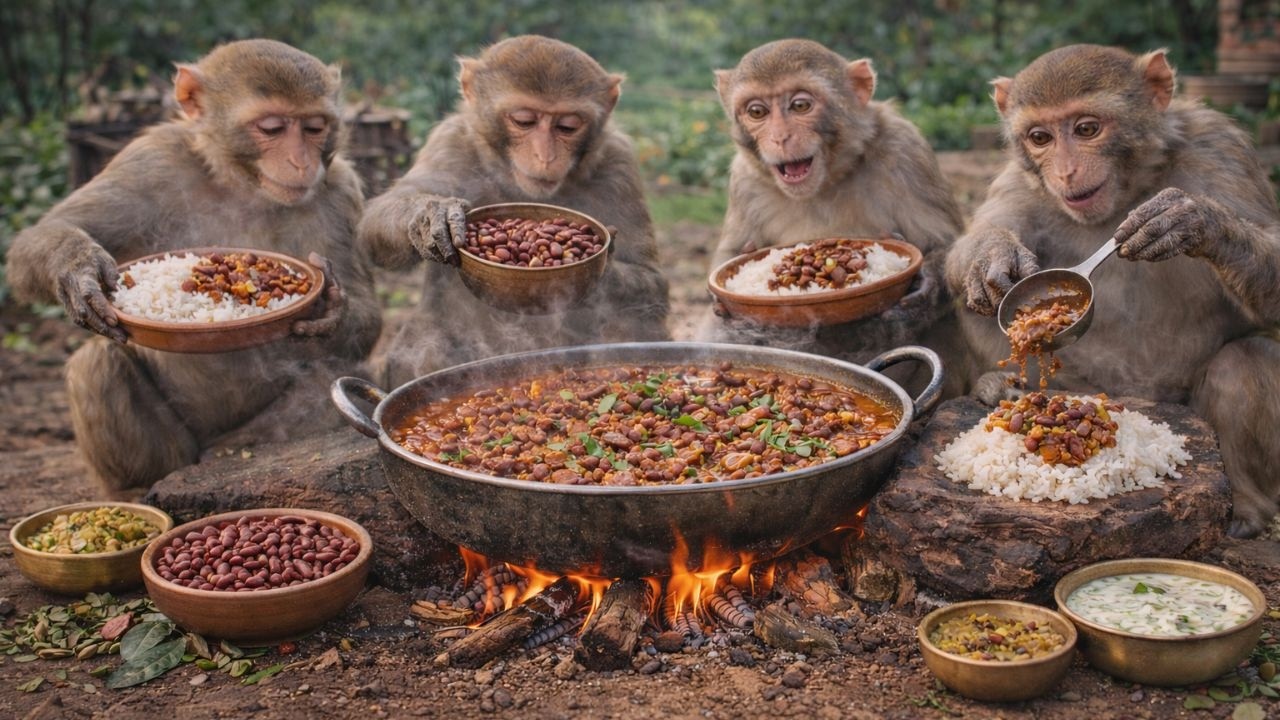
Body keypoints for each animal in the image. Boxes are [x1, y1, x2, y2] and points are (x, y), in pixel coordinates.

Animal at [5, 39, 382, 493]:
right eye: (272, 128)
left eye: (313, 128)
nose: (300, 163)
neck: (241, 185)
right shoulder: (151, 160)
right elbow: (39, 238)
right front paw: (80, 270)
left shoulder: (339, 191)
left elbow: (366, 322)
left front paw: (329, 307)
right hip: (178, 444)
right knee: (99, 361)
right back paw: (137, 488)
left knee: (331, 375)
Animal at [357, 35, 670, 386]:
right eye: (524, 121)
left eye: (567, 126)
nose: (545, 156)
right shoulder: (449, 142)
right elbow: (376, 227)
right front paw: (431, 217)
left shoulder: (619, 163)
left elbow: (651, 284)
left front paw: (600, 267)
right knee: (425, 348)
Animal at [696, 39, 970, 397]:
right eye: (757, 112)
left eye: (800, 105)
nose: (780, 138)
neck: (829, 178)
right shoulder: (743, 179)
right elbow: (727, 264)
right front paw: (729, 306)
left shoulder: (906, 150)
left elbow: (947, 249)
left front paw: (922, 286)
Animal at [944, 44, 1280, 537]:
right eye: (1040, 137)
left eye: (1087, 129)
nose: (1066, 172)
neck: (1130, 189)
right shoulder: (1018, 183)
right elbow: (969, 255)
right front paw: (991, 257)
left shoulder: (1222, 150)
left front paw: (1191, 219)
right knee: (977, 310)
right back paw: (998, 385)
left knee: (1244, 362)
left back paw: (1245, 507)